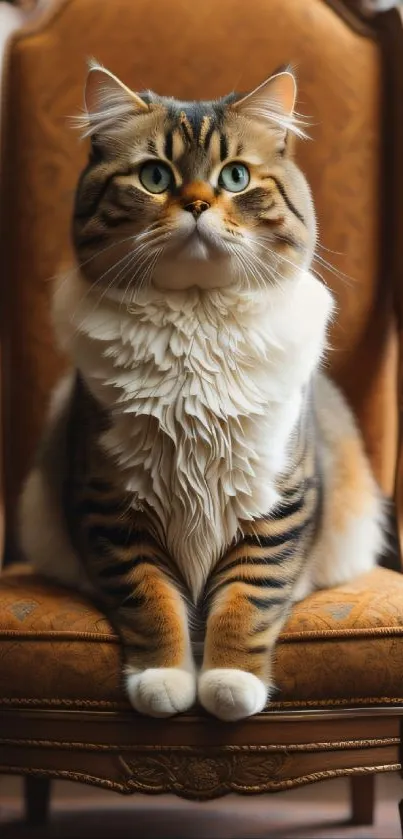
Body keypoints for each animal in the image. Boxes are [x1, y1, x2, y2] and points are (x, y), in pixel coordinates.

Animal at [19, 64, 386, 720]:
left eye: (234, 177)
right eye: (155, 177)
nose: (194, 204)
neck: (196, 323)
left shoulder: (276, 504)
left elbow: (247, 602)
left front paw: (228, 685)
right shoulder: (113, 505)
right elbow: (151, 602)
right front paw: (164, 681)